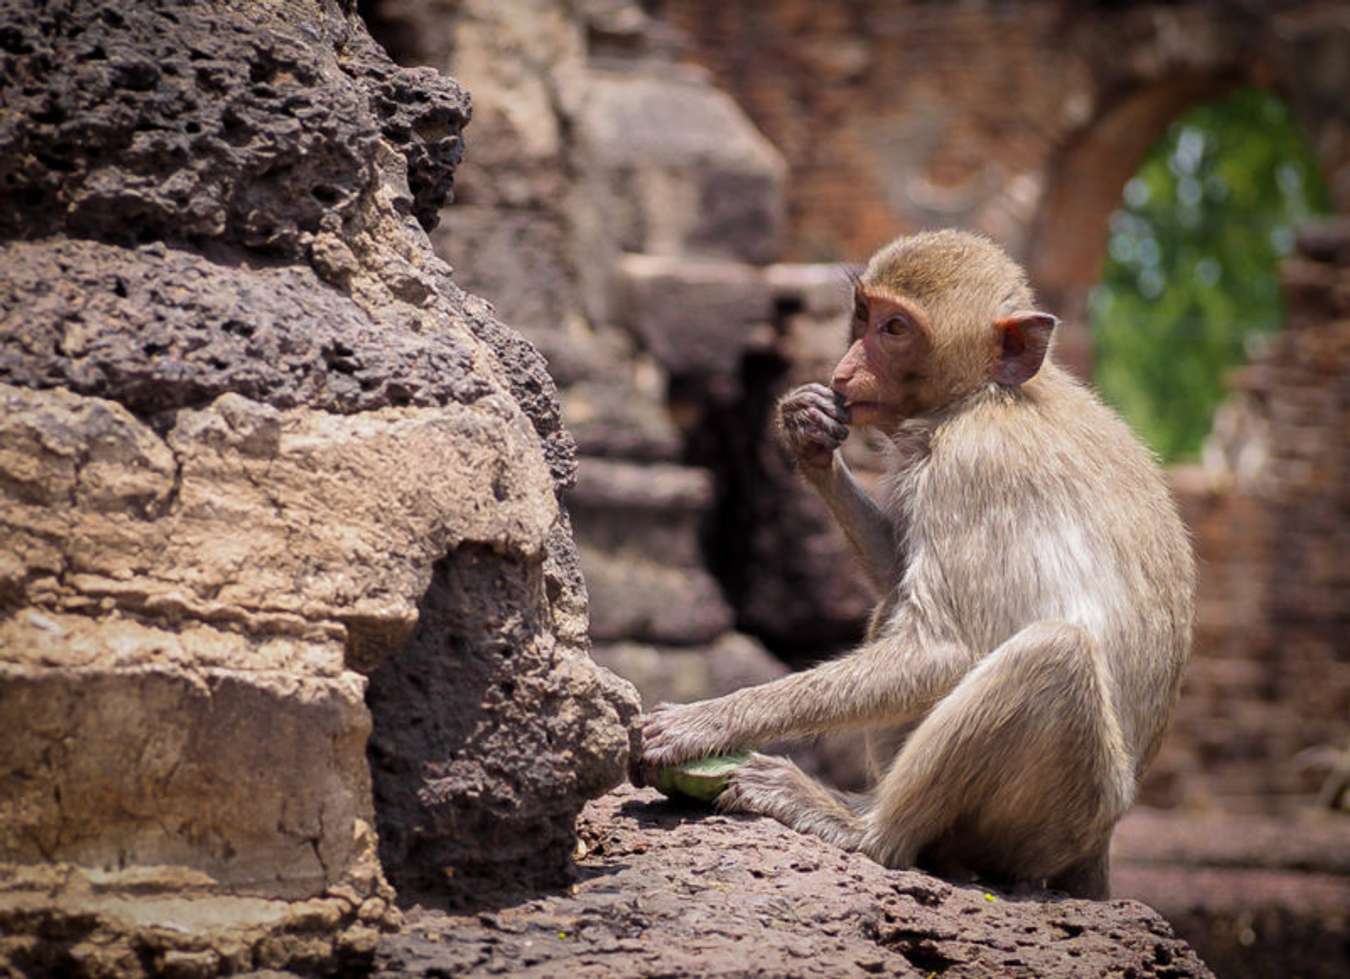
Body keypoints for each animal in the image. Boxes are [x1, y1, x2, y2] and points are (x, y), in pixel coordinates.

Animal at [637, 230, 1198, 902]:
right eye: (864, 316)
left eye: (896, 329)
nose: (844, 370)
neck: (983, 395)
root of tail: (1102, 842)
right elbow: (899, 575)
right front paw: (808, 434)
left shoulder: (971, 467)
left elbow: (942, 647)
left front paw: (708, 720)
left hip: (1063, 815)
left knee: (1052, 654)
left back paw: (868, 829)